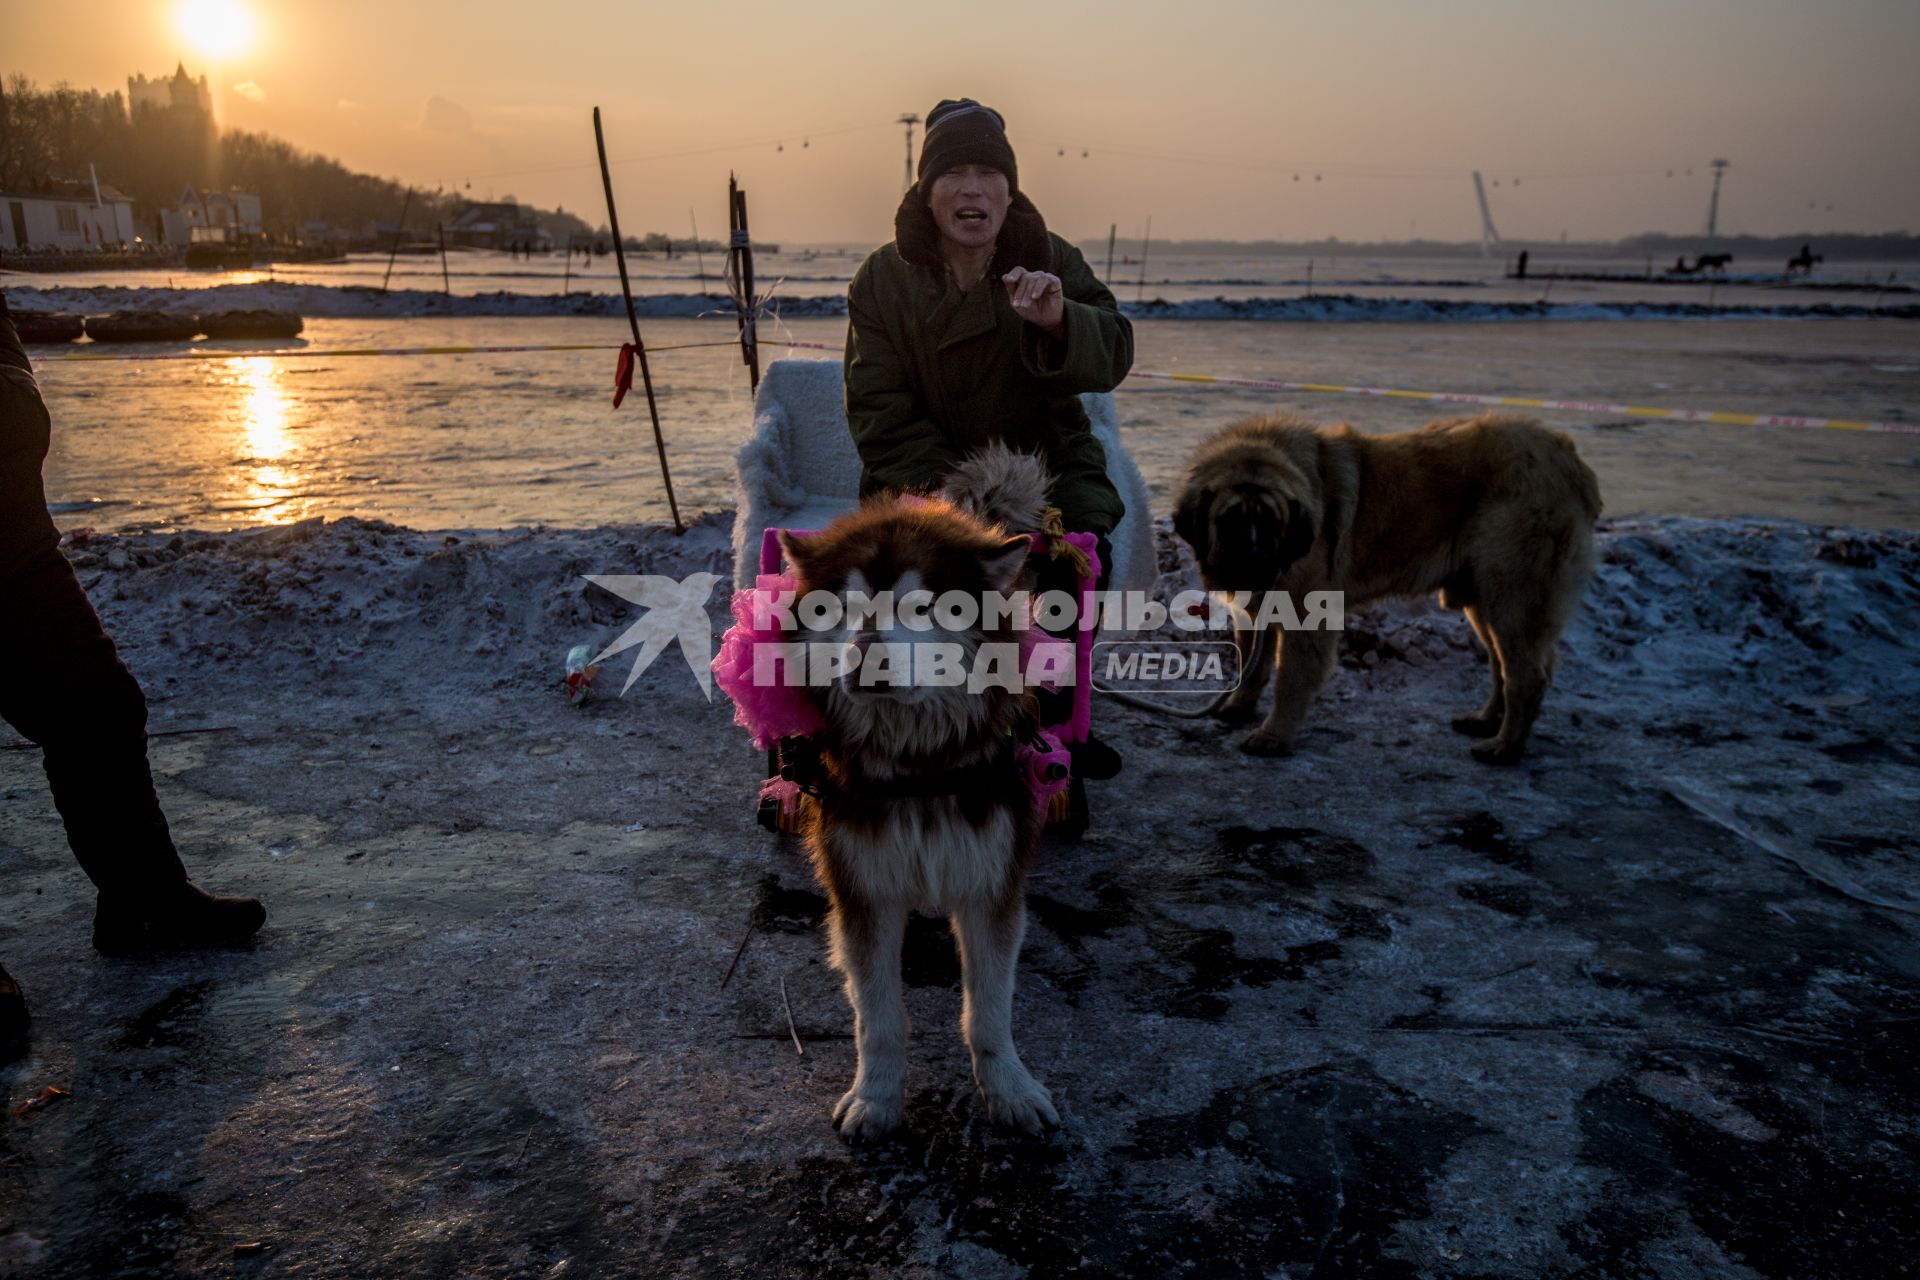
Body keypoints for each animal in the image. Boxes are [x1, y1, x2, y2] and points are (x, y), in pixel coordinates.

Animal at [1167, 416, 1605, 767]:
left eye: (1274, 523)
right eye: (1229, 521)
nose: (1256, 564)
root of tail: (1569, 460)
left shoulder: (1306, 615)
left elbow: (1290, 679)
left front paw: (1273, 735)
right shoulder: (1255, 609)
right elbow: (1252, 664)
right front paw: (1239, 706)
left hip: (1510, 593)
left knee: (1525, 675)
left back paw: (1505, 748)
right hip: (1485, 599)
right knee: (1503, 664)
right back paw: (1486, 722)